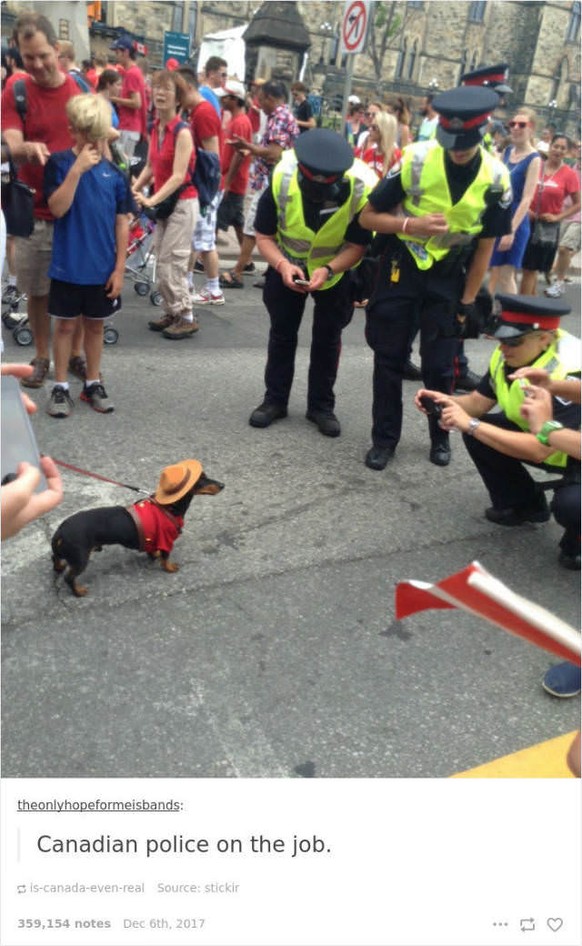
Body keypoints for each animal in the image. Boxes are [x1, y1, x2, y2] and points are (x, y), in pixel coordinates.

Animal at [51, 460, 224, 596]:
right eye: (201, 479)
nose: (223, 485)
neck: (168, 507)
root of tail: (61, 531)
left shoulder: (153, 539)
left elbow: (153, 551)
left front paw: (154, 555)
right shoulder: (167, 540)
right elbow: (166, 557)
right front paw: (169, 568)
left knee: (55, 558)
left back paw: (59, 567)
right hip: (80, 558)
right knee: (69, 578)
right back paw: (78, 591)